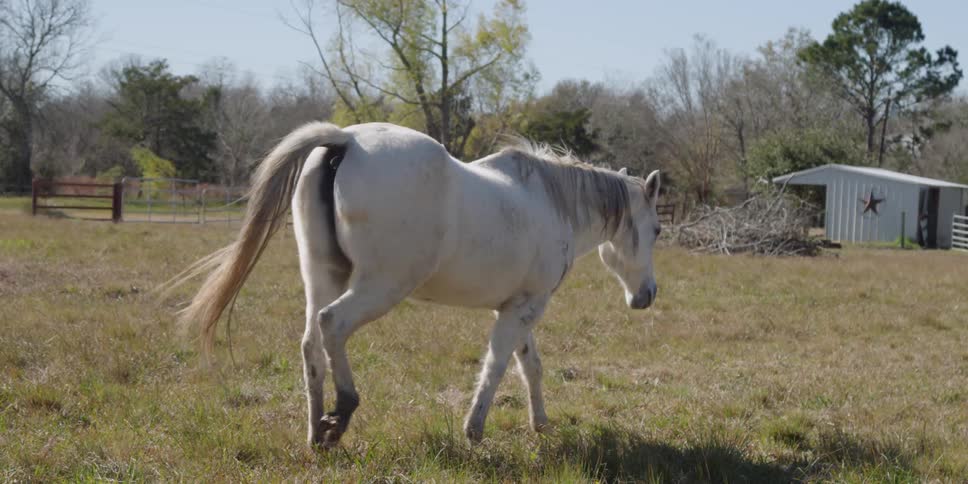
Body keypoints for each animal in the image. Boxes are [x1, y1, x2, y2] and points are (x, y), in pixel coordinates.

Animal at [173, 121, 662, 448]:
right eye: (656, 230)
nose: (648, 296)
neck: (550, 201)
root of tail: (345, 141)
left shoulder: (517, 306)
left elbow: (530, 366)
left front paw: (539, 424)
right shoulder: (525, 307)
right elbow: (497, 365)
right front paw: (474, 430)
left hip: (323, 275)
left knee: (311, 344)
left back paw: (318, 433)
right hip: (379, 288)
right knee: (332, 326)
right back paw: (342, 410)